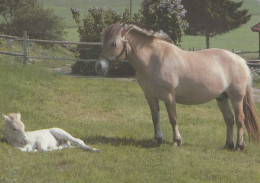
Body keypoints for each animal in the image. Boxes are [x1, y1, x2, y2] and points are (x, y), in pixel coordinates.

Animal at [96, 22, 260, 150]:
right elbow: (155, 118)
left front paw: (176, 141)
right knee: (229, 119)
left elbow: (173, 118)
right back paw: (228, 145)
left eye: (114, 43)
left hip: (236, 97)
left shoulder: (169, 97)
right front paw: (157, 139)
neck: (153, 60)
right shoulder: (150, 96)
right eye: (103, 42)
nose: (99, 66)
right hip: (222, 97)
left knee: (240, 119)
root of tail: (241, 61)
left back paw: (239, 146)